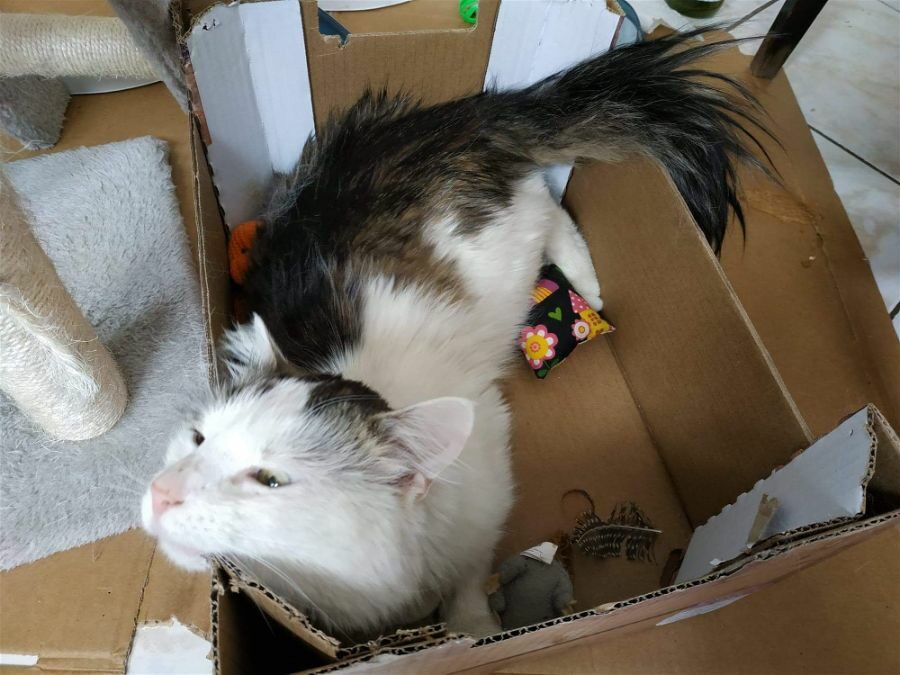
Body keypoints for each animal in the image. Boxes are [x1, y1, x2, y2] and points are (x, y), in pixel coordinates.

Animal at [142, 29, 766, 639]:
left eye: (269, 480)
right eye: (197, 439)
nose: (161, 491)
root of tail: (464, 116)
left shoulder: (488, 488)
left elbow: (468, 576)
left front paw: (473, 625)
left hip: (508, 243)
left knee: (550, 206)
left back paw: (588, 282)